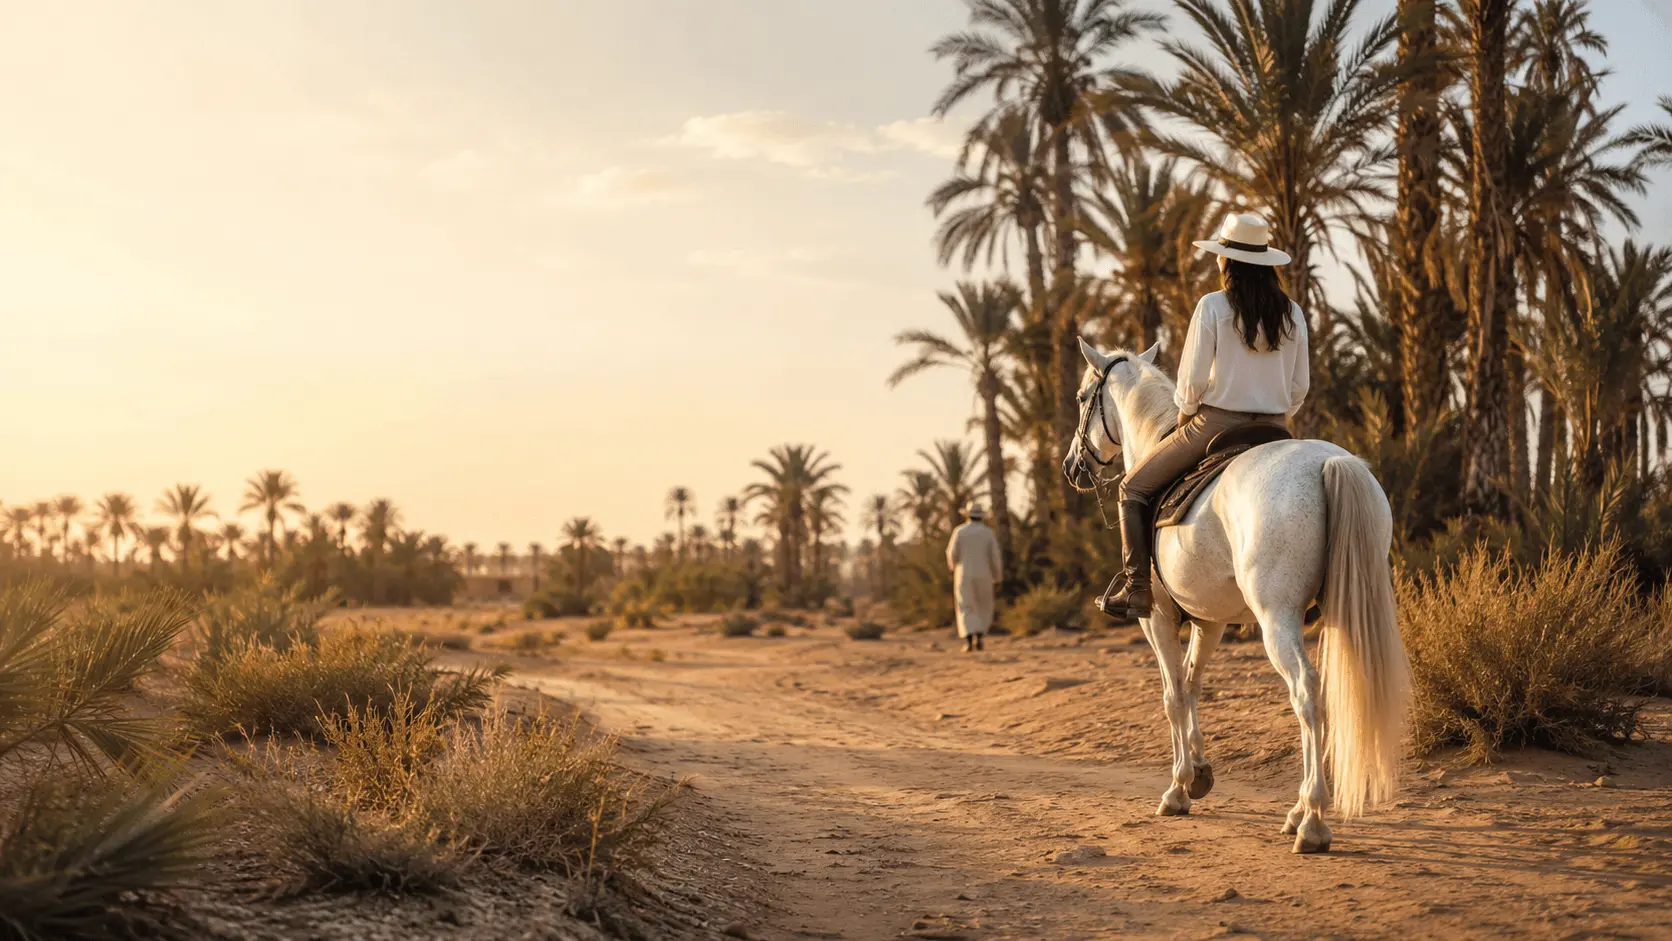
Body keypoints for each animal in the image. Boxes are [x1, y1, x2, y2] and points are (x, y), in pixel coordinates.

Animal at [1062, 338, 1411, 854]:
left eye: (1083, 397)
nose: (1072, 466)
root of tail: (1329, 462)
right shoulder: (1210, 620)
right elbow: (1191, 684)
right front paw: (1199, 775)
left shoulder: (1156, 618)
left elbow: (1171, 695)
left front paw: (1177, 789)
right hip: (1340, 610)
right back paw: (1299, 811)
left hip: (1276, 619)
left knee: (1306, 692)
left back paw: (1312, 821)